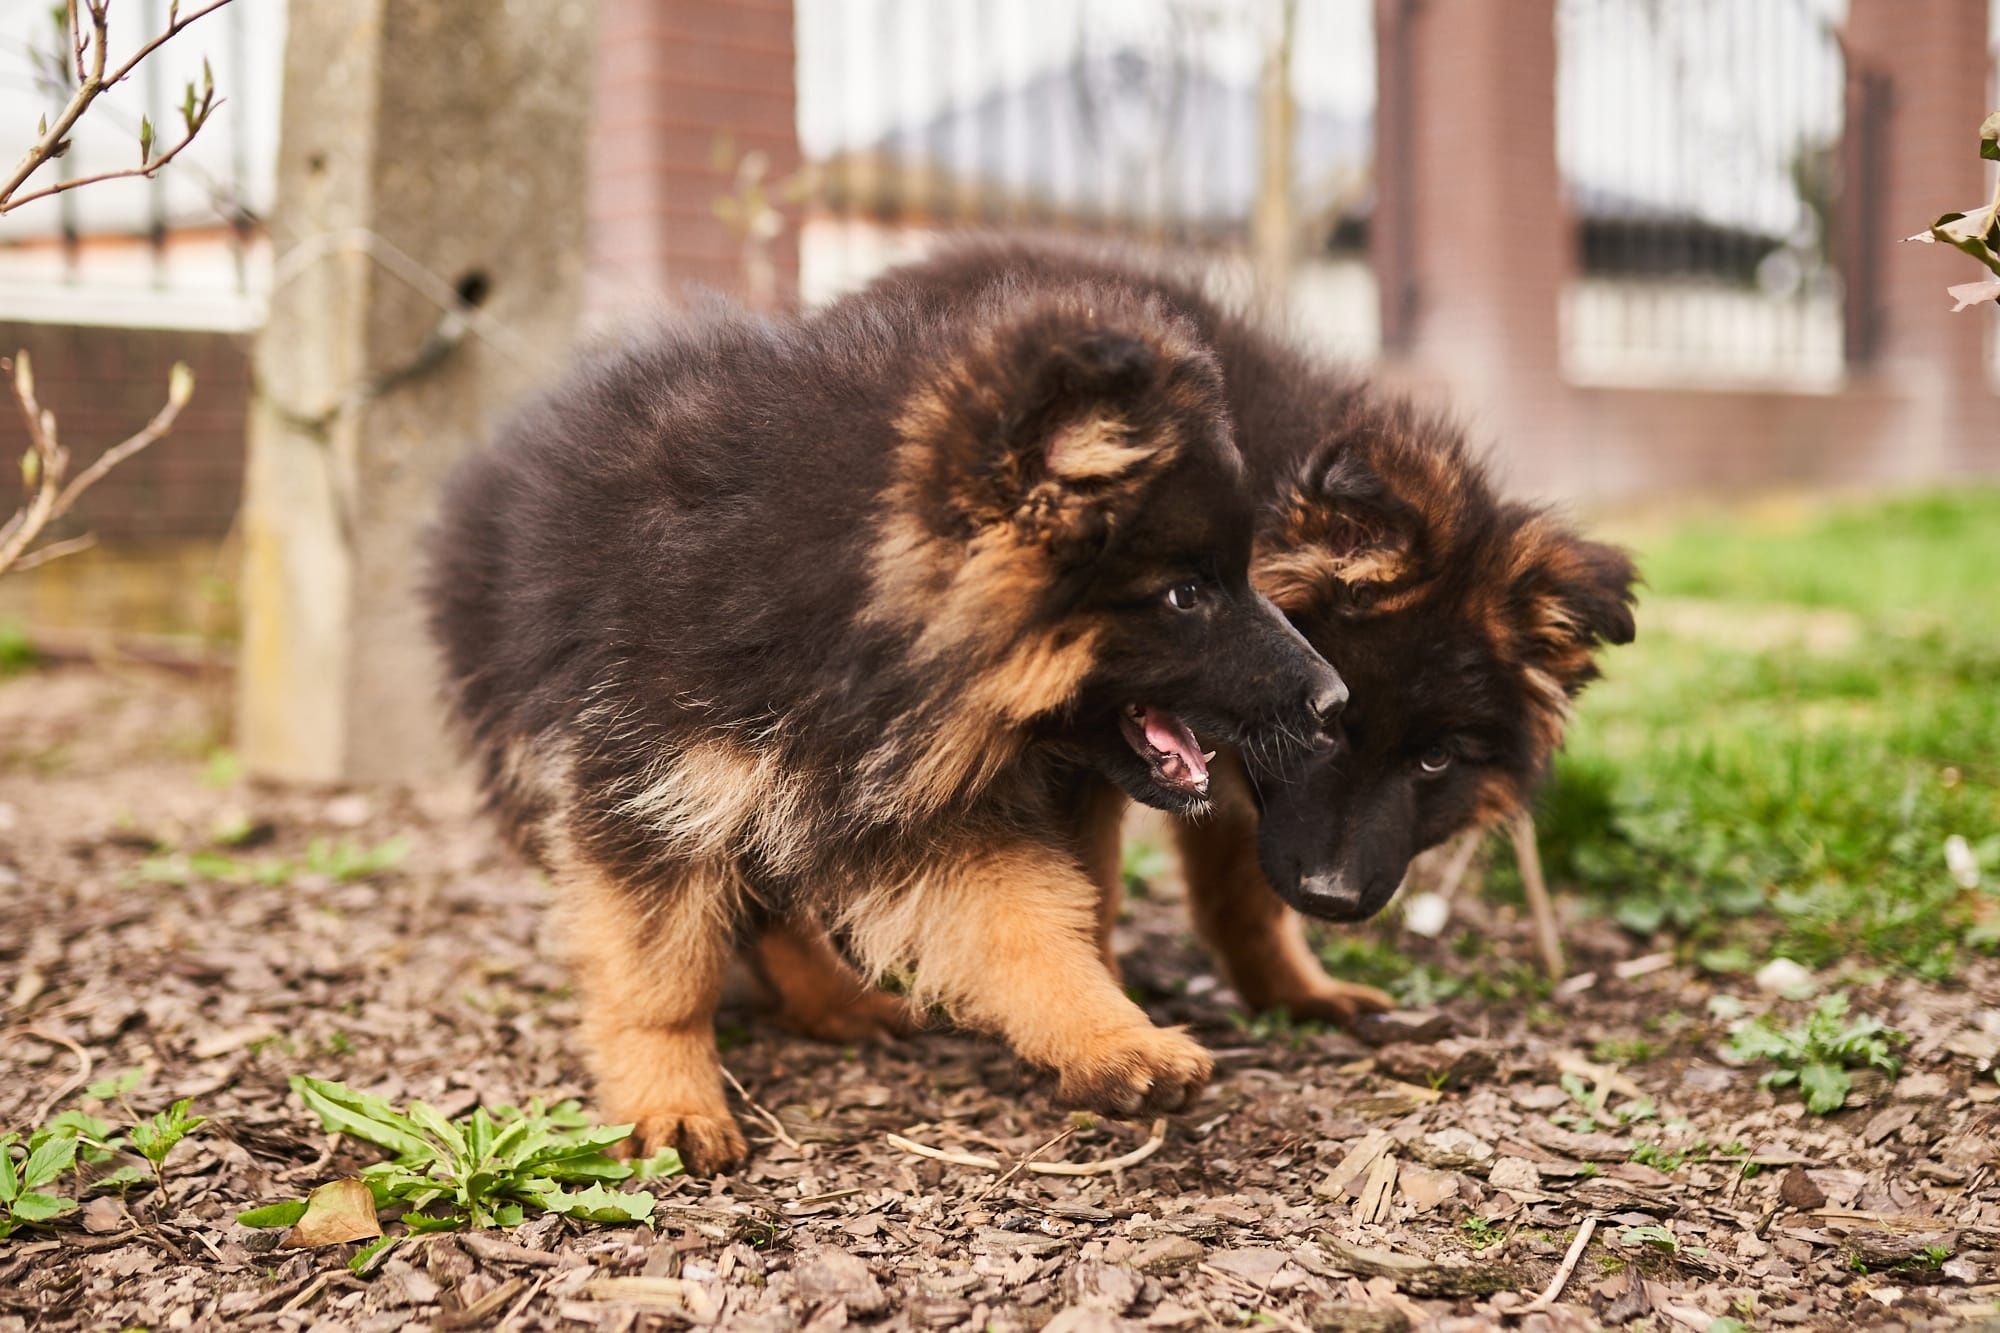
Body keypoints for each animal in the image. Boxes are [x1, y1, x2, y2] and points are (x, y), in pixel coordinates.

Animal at [430, 278, 1352, 1160]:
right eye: (1187, 593)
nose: (1334, 699)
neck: (844, 603)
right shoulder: (654, 789)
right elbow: (660, 978)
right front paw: (669, 1099)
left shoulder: (929, 812)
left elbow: (1029, 933)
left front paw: (1113, 1038)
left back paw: (835, 1000)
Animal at [772, 241, 1632, 1024]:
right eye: (1337, 727)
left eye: (1436, 759)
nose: (1333, 898)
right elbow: (1092, 891)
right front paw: (1112, 1011)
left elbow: (1243, 891)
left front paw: (1294, 993)